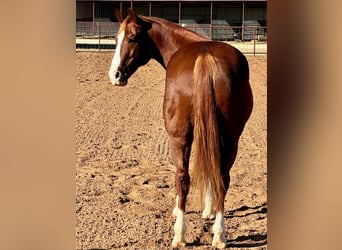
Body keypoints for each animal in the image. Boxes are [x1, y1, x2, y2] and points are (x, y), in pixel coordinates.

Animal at [108, 8, 252, 248]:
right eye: (116, 39)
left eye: (132, 38)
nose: (115, 75)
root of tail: (205, 58)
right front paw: (208, 210)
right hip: (231, 138)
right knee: (222, 178)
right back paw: (219, 235)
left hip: (179, 137)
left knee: (182, 178)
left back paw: (180, 234)